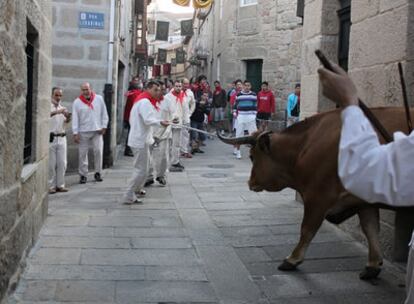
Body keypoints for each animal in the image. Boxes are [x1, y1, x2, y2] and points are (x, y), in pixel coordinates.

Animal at [218, 107, 412, 280]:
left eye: (252, 156)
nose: (250, 182)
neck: (305, 146)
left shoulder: (317, 196)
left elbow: (307, 229)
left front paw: (292, 259)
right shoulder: (363, 201)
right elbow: (370, 228)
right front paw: (373, 266)